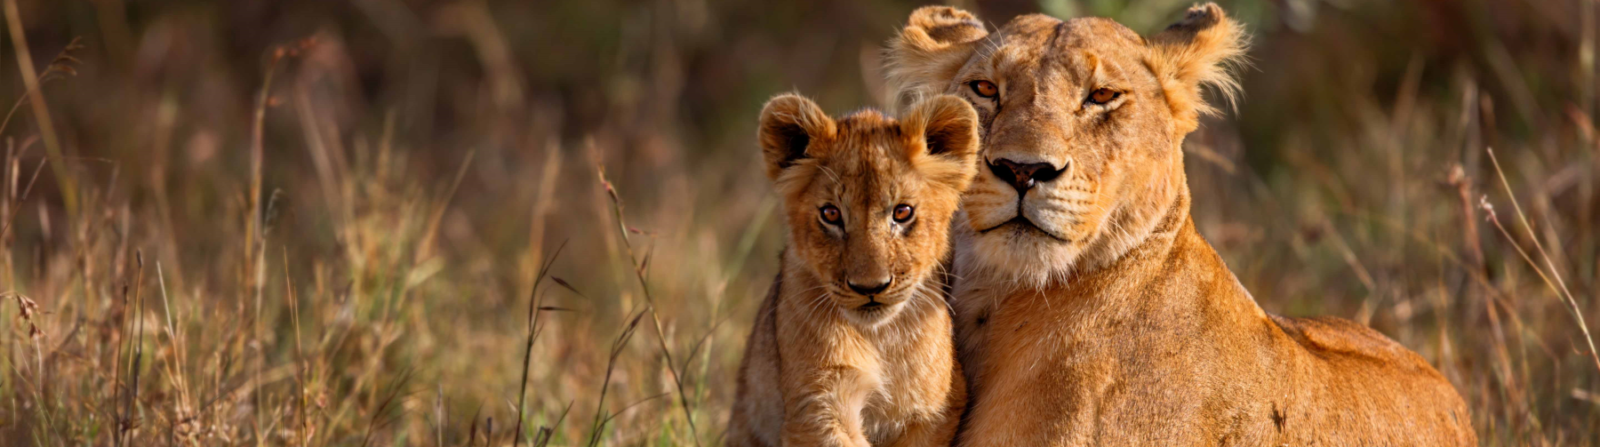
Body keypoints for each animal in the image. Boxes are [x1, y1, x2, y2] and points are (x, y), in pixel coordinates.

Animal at [724, 93, 977, 447]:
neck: (880, 339)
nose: (870, 287)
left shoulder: (934, 410)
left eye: (902, 212)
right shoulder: (817, 405)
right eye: (831, 214)